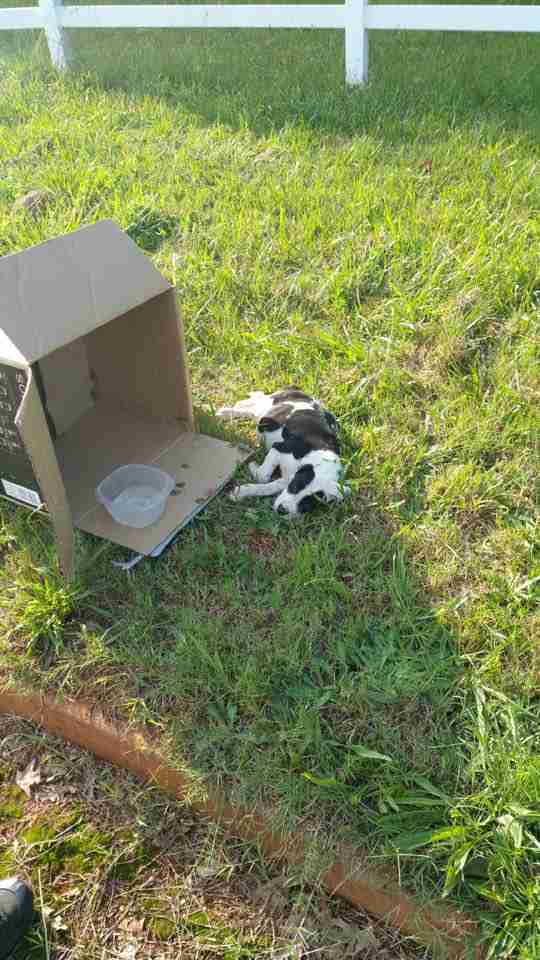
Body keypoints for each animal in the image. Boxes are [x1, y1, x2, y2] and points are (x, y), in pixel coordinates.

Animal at [216, 386, 350, 516]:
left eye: (309, 503)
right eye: (295, 486)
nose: (282, 510)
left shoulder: (286, 479)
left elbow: (268, 486)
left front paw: (240, 493)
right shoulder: (279, 448)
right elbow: (262, 476)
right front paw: (253, 467)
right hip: (266, 410)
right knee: (252, 406)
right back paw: (225, 412)